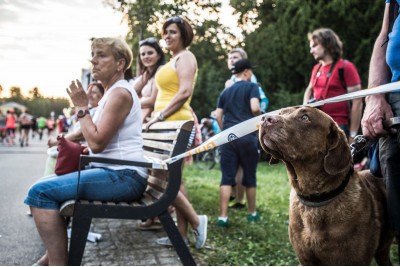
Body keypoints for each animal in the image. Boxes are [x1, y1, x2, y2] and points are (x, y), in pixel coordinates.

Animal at [260, 106, 394, 266]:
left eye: (305, 118)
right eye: (281, 113)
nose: (265, 119)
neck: (315, 198)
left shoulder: (353, 260)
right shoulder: (305, 260)